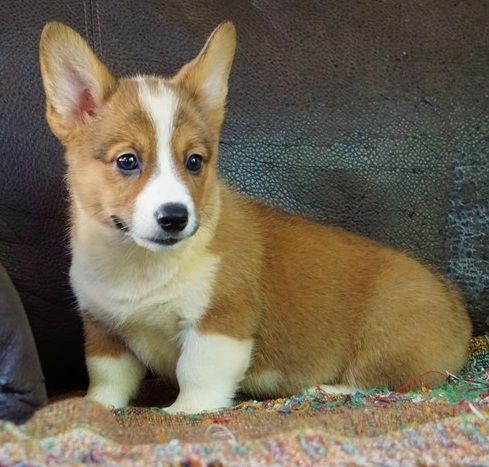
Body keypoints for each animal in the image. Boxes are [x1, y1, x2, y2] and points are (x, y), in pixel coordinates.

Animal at [40, 22, 470, 414]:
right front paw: (93, 406)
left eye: (194, 161)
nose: (175, 217)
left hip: (387, 340)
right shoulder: (103, 330)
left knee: (394, 381)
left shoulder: (219, 322)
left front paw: (184, 412)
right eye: (127, 161)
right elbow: (107, 378)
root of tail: (457, 308)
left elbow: (197, 373)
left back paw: (328, 390)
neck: (138, 262)